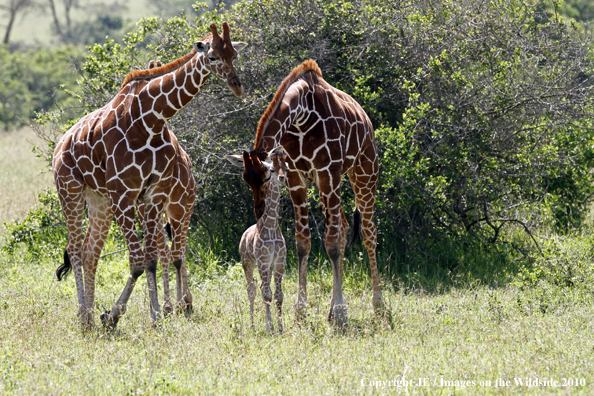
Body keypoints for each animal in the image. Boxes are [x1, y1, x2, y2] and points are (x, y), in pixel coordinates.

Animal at [52, 23, 244, 330]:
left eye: (234, 55)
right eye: (213, 56)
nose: (237, 86)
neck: (151, 120)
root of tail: (61, 143)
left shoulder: (153, 194)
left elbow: (153, 258)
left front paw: (155, 316)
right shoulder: (124, 193)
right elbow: (139, 262)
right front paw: (115, 316)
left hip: (98, 199)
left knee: (90, 251)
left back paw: (90, 315)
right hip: (69, 189)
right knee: (75, 248)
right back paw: (84, 316)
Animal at [224, 148, 286, 332]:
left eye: (286, 168)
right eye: (272, 170)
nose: (282, 178)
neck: (272, 228)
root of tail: (244, 234)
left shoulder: (279, 262)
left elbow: (278, 295)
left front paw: (280, 327)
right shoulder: (262, 261)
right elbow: (267, 295)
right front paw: (269, 327)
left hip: (266, 266)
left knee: (259, 287)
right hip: (247, 262)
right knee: (251, 288)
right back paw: (251, 325)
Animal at [246, 58, 382, 324]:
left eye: (267, 177)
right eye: (247, 179)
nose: (258, 212)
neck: (301, 116)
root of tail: (367, 119)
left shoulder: (328, 171)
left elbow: (331, 243)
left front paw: (341, 312)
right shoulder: (296, 177)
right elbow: (303, 242)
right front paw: (301, 310)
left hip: (363, 171)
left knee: (368, 233)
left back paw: (378, 305)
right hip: (326, 184)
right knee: (344, 227)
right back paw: (331, 311)